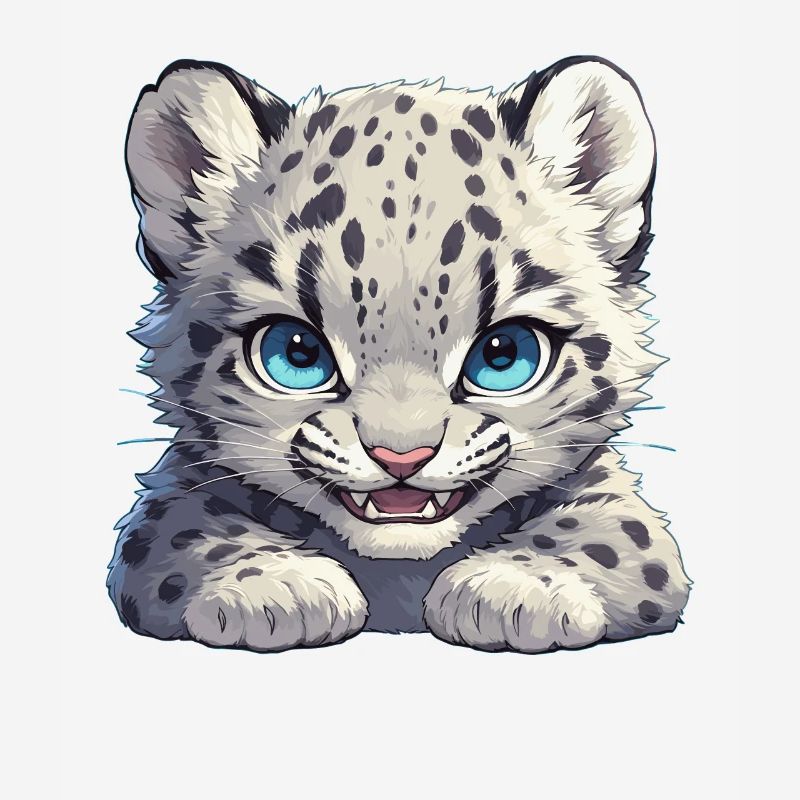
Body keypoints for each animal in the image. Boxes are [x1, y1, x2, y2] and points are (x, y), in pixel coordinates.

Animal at [108, 56, 690, 653]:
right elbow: (190, 528)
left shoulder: (614, 499)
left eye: (505, 354)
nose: (401, 457)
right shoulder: (171, 496)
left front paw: (517, 587)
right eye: (295, 352)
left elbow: (611, 532)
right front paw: (274, 587)